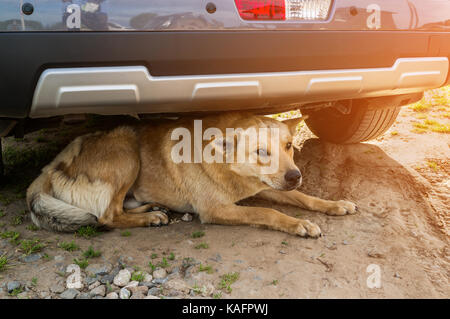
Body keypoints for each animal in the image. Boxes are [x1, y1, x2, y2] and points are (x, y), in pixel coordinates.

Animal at [26, 112, 356, 238]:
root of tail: (51, 166)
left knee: (119, 206)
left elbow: (302, 197)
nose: (295, 175)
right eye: (261, 152)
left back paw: (151, 208)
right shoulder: (216, 209)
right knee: (107, 216)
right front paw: (300, 224)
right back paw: (149, 218)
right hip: (126, 149)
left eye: (288, 146)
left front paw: (334, 204)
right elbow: (268, 212)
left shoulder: (263, 185)